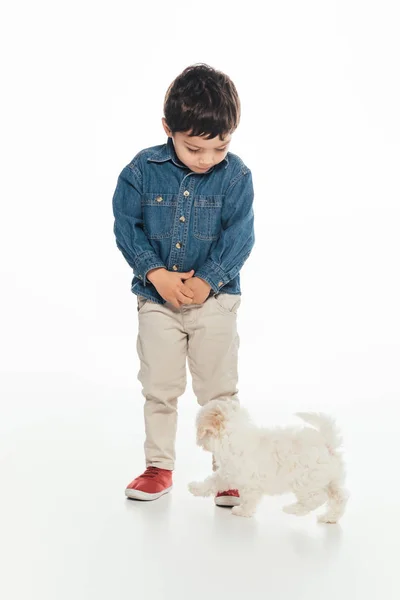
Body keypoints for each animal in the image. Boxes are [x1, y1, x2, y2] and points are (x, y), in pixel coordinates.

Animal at [189, 398, 348, 520]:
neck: (233, 435)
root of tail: (326, 443)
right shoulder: (228, 473)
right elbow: (213, 481)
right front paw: (195, 488)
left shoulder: (249, 480)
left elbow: (248, 498)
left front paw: (242, 511)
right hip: (331, 480)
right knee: (340, 497)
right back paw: (329, 518)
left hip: (305, 480)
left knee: (316, 498)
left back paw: (291, 509)